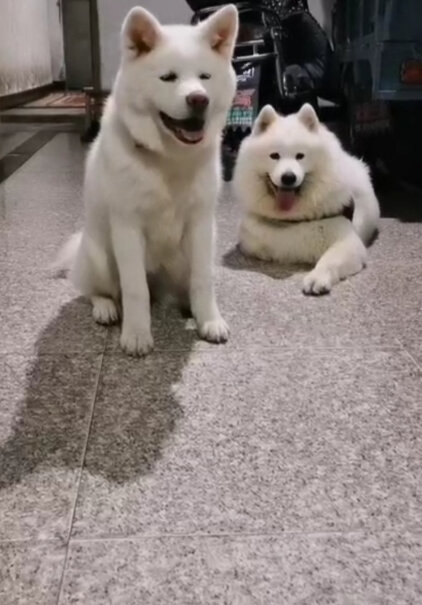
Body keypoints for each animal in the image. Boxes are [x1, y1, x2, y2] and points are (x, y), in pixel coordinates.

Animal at [56, 4, 239, 354]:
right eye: (168, 77)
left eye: (205, 77)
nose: (199, 99)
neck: (169, 159)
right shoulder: (128, 227)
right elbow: (134, 289)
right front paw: (137, 334)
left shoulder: (200, 224)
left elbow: (203, 280)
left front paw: (209, 320)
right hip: (100, 257)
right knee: (94, 290)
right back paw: (106, 308)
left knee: (186, 283)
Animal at [232, 104, 380, 294]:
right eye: (274, 156)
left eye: (300, 156)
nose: (288, 177)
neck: (292, 219)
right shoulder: (250, 236)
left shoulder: (347, 240)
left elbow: (329, 260)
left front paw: (317, 278)